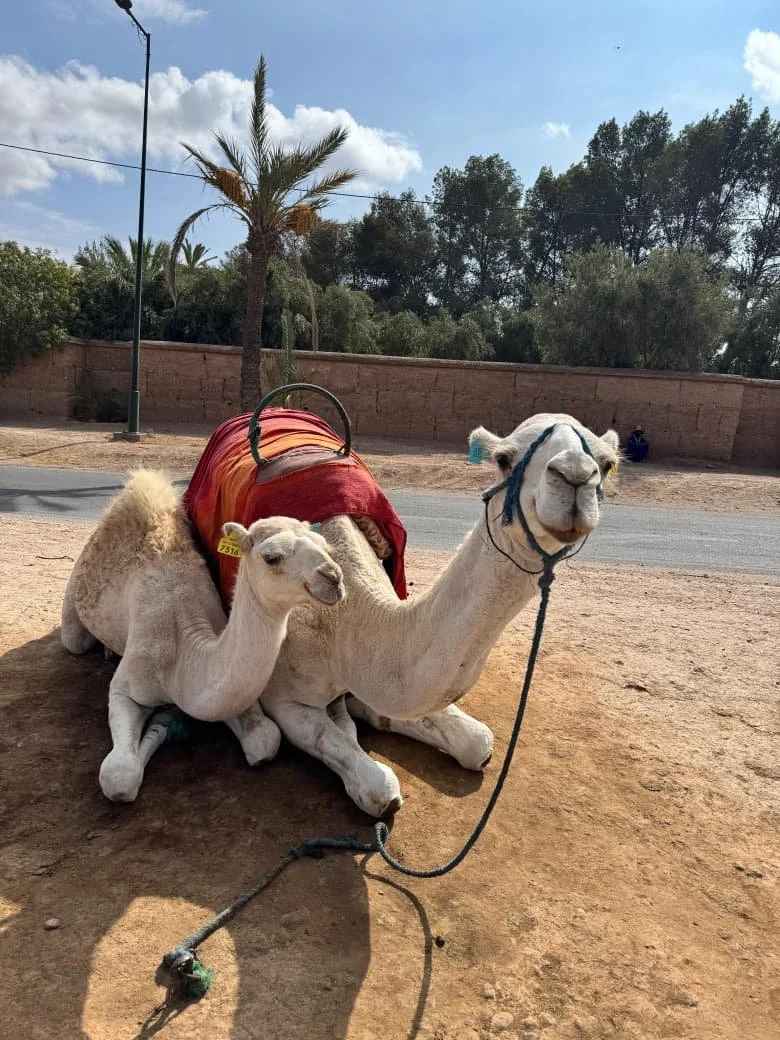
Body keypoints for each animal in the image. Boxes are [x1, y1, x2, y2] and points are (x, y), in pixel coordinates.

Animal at [61, 470, 344, 802]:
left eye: (324, 544)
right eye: (271, 557)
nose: (333, 577)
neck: (181, 656)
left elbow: (265, 738)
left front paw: (165, 724)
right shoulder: (125, 686)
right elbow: (119, 777)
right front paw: (161, 724)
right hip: (74, 608)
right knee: (75, 641)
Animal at [211, 412, 619, 817]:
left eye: (606, 464)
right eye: (504, 459)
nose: (574, 476)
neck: (347, 622)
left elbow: (477, 741)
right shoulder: (283, 696)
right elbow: (378, 787)